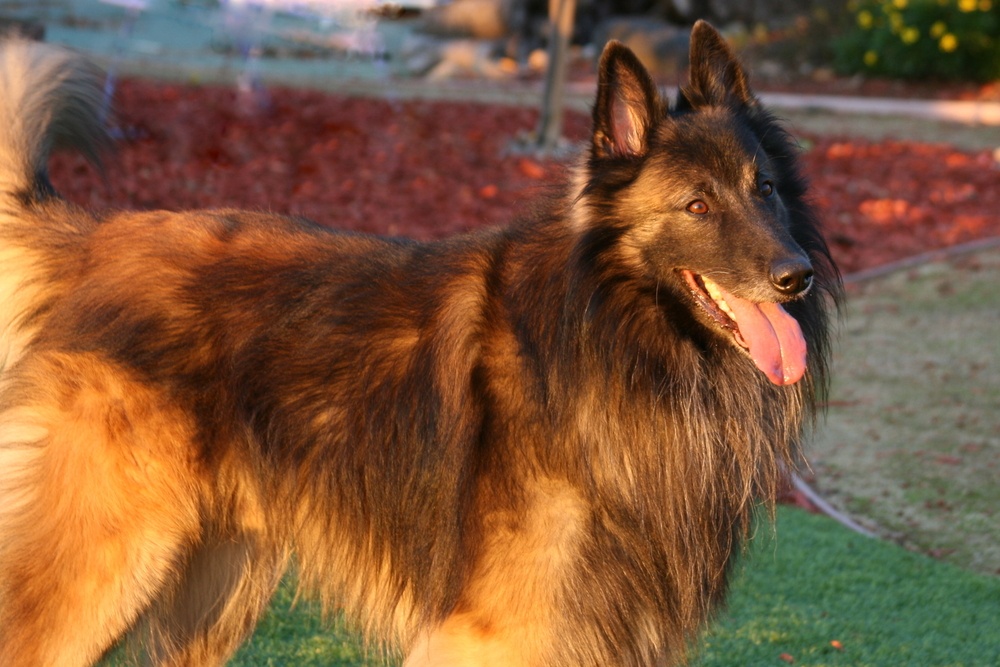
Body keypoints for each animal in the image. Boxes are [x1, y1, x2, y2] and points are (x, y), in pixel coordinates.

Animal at [0, 20, 840, 667]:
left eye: (765, 187)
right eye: (697, 205)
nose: (794, 275)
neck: (613, 334)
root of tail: (95, 241)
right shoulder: (500, 633)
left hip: (214, 590)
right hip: (105, 570)